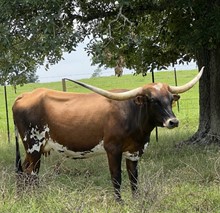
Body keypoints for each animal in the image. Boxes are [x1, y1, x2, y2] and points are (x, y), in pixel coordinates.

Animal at [12, 67, 204, 201]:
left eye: (170, 99)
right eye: (152, 100)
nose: (173, 121)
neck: (131, 113)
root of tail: (25, 95)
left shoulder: (134, 151)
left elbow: (134, 177)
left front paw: (136, 200)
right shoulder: (112, 149)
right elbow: (116, 176)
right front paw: (119, 202)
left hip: (34, 149)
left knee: (25, 172)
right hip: (33, 145)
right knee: (30, 173)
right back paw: (34, 198)